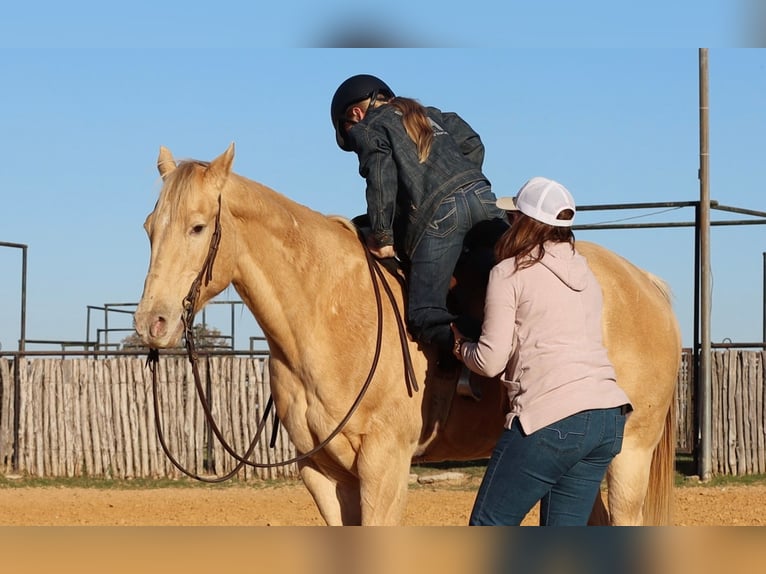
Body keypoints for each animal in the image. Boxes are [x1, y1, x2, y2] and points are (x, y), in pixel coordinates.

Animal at [133, 143, 681, 526]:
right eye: (149, 227)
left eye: (198, 227)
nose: (152, 323)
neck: (327, 312)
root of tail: (646, 284)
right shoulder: (324, 474)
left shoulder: (385, 466)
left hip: (629, 456)